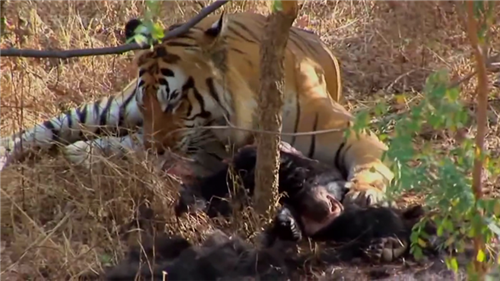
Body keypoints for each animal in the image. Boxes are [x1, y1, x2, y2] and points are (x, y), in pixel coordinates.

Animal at [0, 11, 394, 206]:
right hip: (110, 110)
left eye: (174, 101)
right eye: (146, 102)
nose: (155, 146)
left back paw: (86, 152)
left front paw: (365, 192)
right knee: (46, 129)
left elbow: (373, 162)